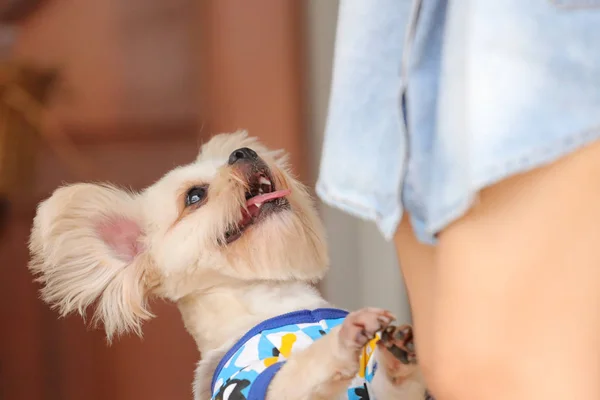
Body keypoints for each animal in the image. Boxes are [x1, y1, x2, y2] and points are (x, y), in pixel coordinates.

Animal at [29, 132, 426, 400]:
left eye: (244, 153)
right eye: (194, 196)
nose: (243, 152)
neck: (274, 299)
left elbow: (394, 385)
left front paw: (398, 354)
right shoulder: (253, 383)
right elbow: (303, 367)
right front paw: (341, 340)